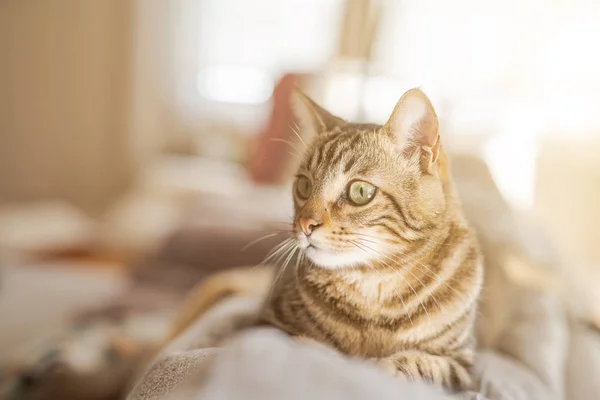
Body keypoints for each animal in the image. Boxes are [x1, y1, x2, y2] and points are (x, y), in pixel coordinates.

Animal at [168, 88, 482, 394]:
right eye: (304, 186)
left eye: (360, 192)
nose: (305, 224)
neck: (374, 290)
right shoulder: (265, 325)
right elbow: (302, 345)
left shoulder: (467, 369)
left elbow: (423, 365)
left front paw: (384, 366)